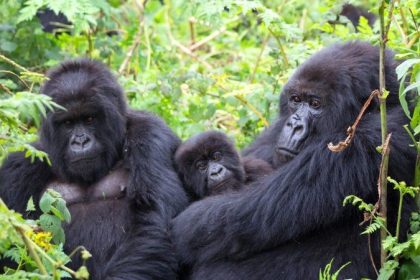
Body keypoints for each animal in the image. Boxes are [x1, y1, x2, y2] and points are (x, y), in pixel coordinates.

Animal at [0, 59, 187, 278]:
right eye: (68, 123)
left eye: (89, 119)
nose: (80, 141)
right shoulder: (18, 167)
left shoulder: (151, 135)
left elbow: (154, 220)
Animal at [171, 41, 416, 278]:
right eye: (296, 100)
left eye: (315, 104)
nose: (294, 124)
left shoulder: (373, 137)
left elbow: (244, 216)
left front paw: (181, 228)